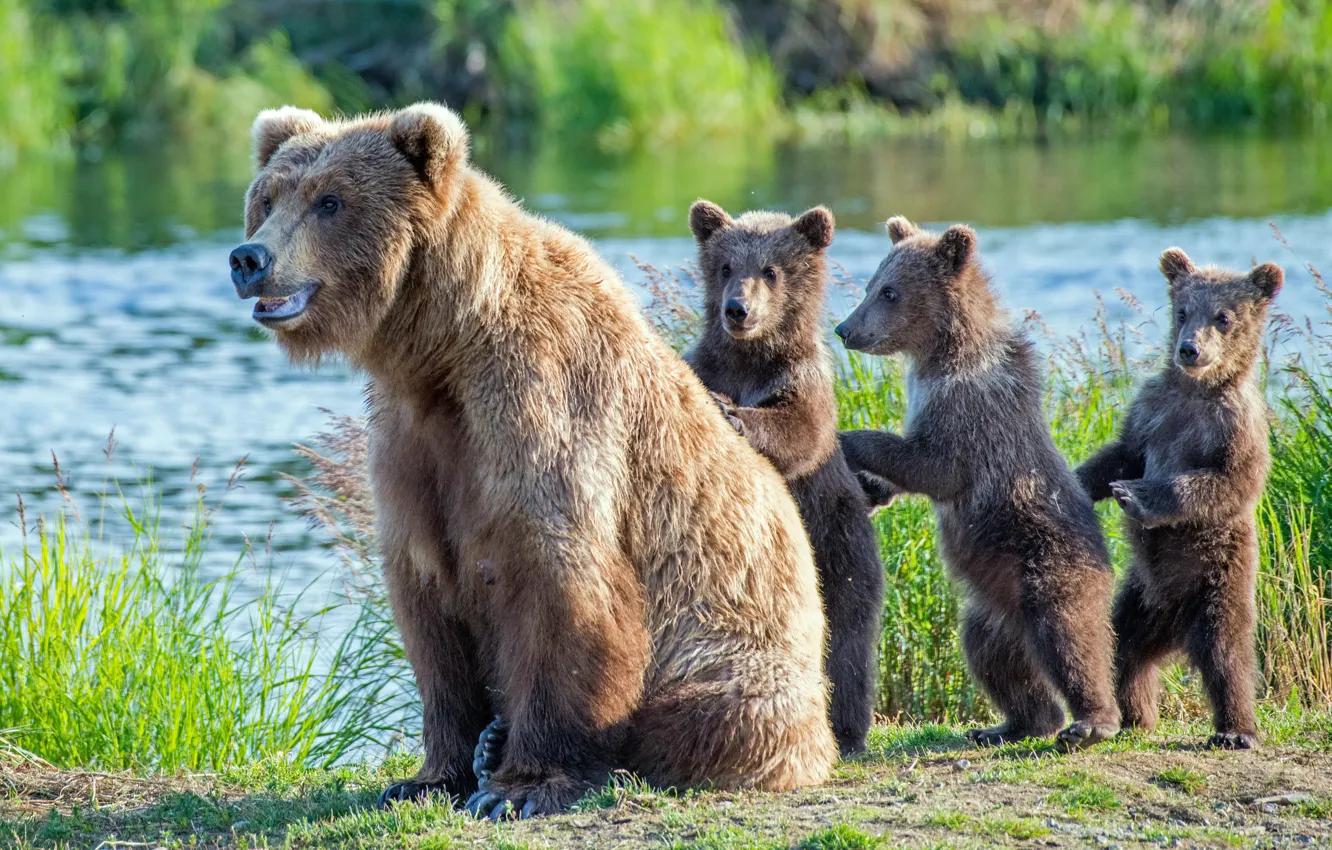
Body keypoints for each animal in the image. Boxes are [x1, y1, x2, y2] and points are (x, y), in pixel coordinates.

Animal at [228, 103, 836, 817]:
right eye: (268, 199)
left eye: (330, 200)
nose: (249, 258)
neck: (443, 348)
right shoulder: (412, 443)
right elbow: (426, 605)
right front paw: (427, 775)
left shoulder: (541, 406)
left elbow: (561, 586)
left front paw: (519, 787)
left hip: (737, 646)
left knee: (710, 712)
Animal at [682, 199, 887, 756]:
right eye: (725, 266)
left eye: (771, 270)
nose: (737, 309)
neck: (750, 361)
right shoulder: (704, 365)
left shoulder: (804, 383)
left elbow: (799, 431)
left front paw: (733, 414)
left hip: (839, 545)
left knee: (847, 637)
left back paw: (846, 729)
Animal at [833, 216, 1120, 751]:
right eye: (869, 285)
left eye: (889, 291)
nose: (845, 329)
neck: (940, 353)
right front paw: (871, 490)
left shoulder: (971, 409)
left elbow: (933, 465)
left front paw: (847, 439)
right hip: (991, 607)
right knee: (994, 658)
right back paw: (1010, 723)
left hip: (1049, 563)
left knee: (1069, 634)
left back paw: (1092, 721)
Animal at [1076, 248, 1282, 750]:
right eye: (1183, 310)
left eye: (1223, 316)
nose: (1189, 349)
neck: (1196, 390)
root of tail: (1175, 626)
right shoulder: (1152, 410)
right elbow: (1122, 455)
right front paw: (1080, 480)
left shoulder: (1235, 425)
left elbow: (1224, 482)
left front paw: (1135, 495)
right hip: (1140, 598)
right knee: (1125, 648)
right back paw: (1136, 715)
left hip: (1218, 580)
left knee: (1227, 652)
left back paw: (1236, 729)